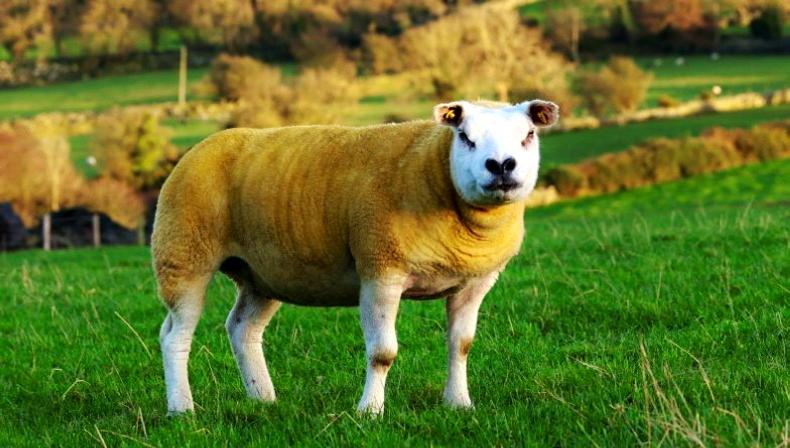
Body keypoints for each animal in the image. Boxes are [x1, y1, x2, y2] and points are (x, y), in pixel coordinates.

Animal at [151, 99, 559, 416]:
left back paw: (263, 398)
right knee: (174, 335)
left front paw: (459, 404)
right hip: (183, 254)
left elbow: (461, 345)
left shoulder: (475, 282)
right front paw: (370, 411)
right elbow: (382, 352)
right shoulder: (380, 269)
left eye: (528, 135)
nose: (501, 165)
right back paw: (182, 409)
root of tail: (207, 144)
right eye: (465, 137)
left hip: (263, 272)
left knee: (242, 328)